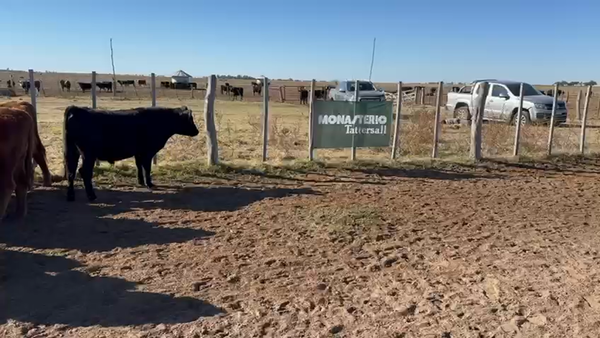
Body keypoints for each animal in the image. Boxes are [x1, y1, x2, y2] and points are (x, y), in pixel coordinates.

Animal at [63, 105, 199, 201]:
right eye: (190, 119)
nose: (197, 131)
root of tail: (76, 109)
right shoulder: (147, 152)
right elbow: (147, 168)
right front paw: (150, 184)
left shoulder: (138, 153)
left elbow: (139, 167)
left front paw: (141, 182)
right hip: (88, 154)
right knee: (84, 171)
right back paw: (92, 196)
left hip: (72, 152)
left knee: (71, 172)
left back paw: (71, 196)